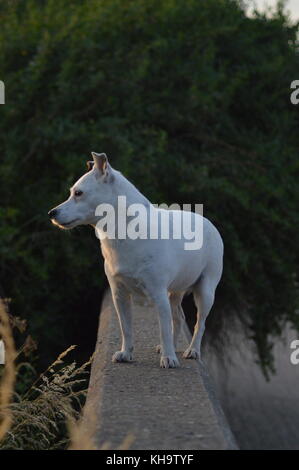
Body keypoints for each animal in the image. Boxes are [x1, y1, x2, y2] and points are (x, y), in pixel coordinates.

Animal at [48, 152, 223, 370]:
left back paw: (192, 350)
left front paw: (168, 358)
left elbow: (163, 328)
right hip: (174, 293)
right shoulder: (119, 295)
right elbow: (127, 328)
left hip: (205, 291)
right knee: (178, 318)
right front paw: (126, 353)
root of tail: (208, 222)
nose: (51, 213)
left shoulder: (158, 294)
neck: (120, 234)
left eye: (78, 193)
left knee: (200, 323)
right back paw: (171, 348)